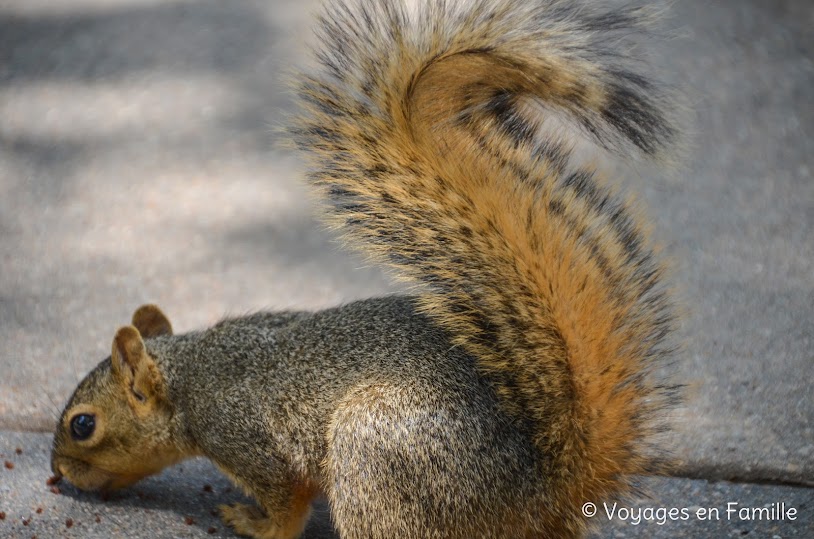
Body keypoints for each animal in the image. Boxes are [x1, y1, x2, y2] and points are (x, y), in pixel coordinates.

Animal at [49, 1, 684, 539]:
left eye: (83, 424)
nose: (55, 473)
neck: (190, 376)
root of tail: (543, 490)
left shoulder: (248, 439)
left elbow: (285, 507)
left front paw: (252, 522)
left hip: (373, 455)